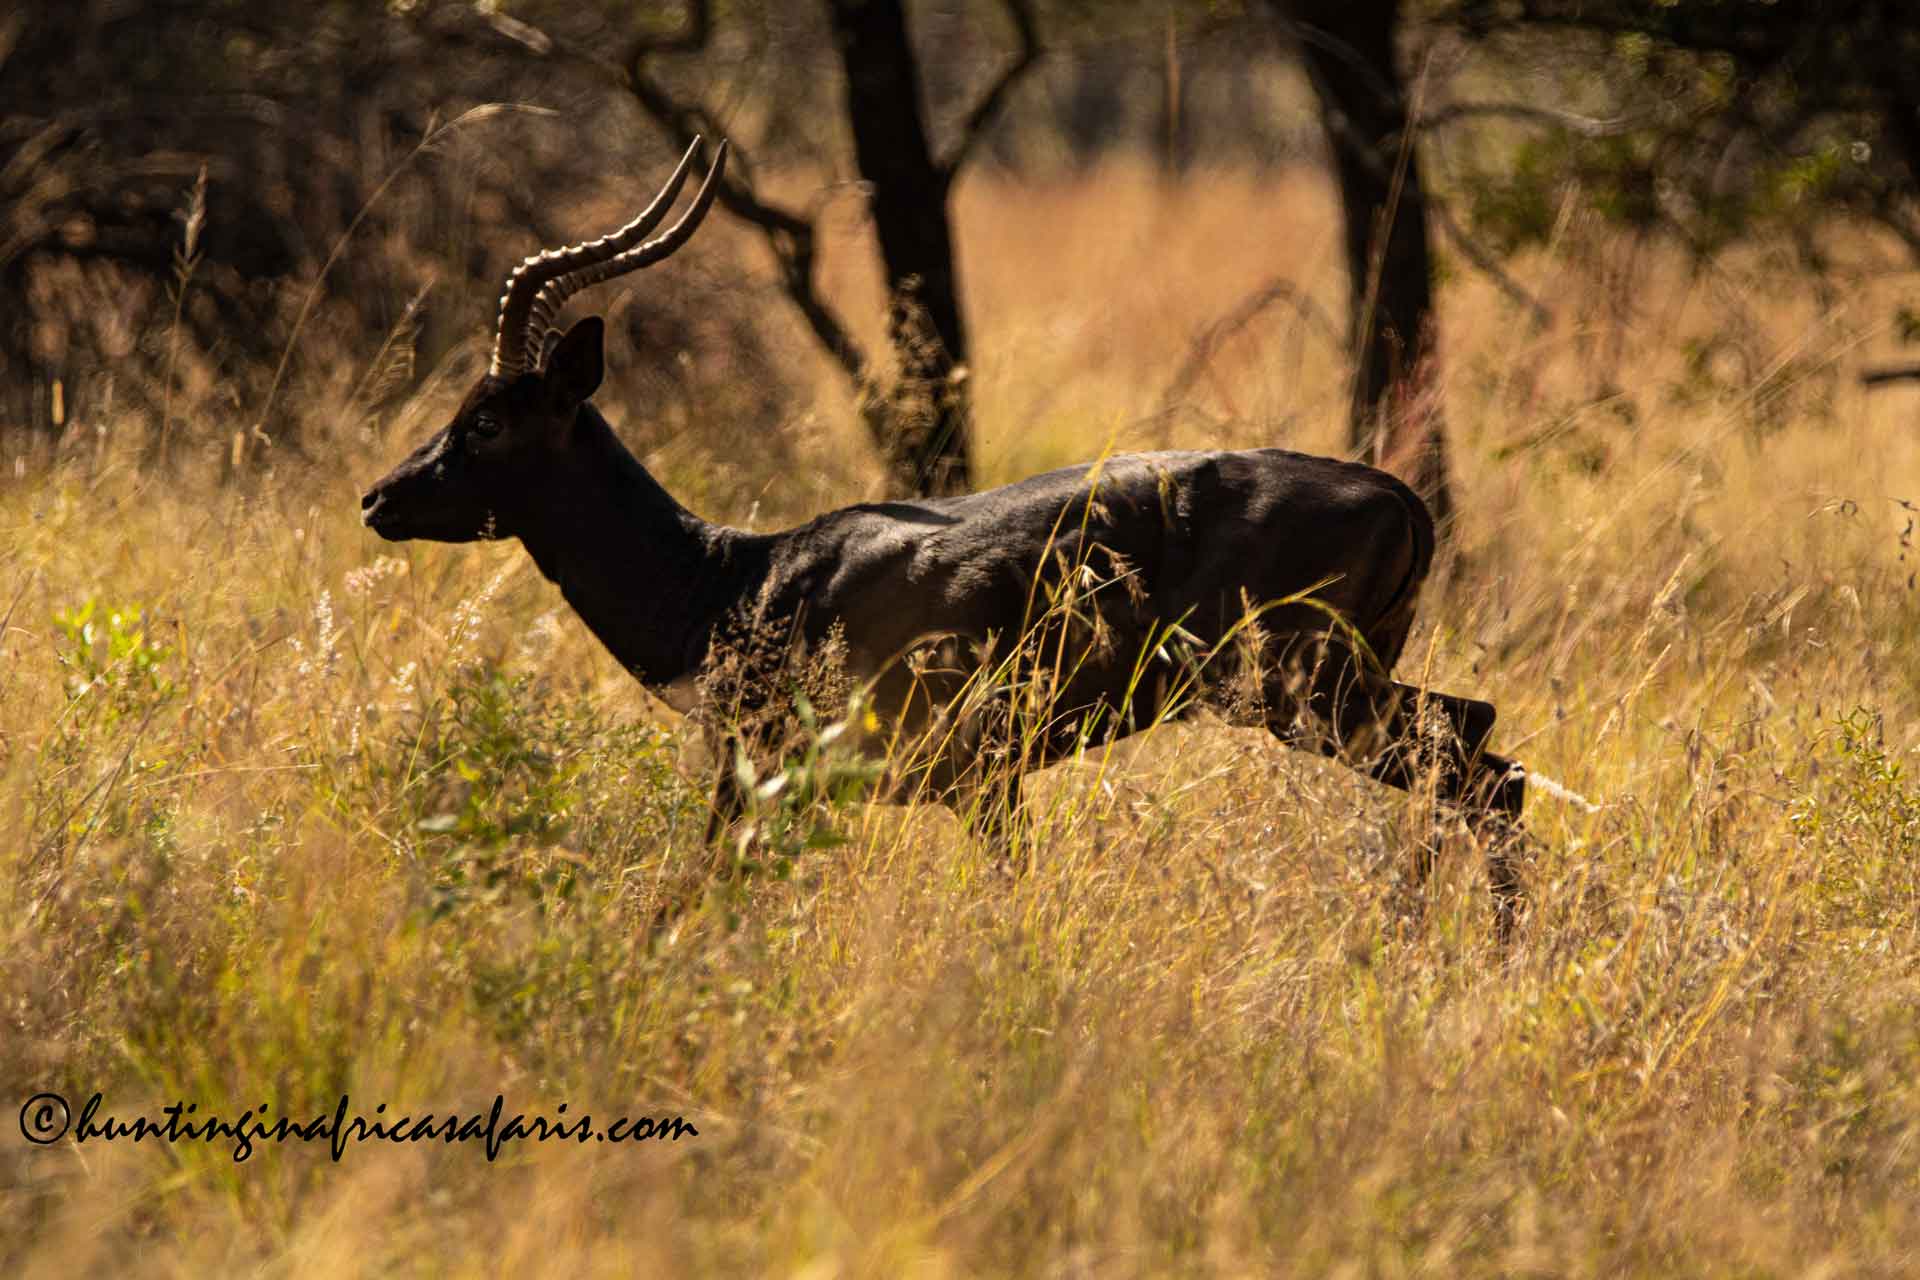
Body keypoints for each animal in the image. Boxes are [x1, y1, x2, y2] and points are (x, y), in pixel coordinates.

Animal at [360, 140, 1529, 928]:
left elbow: (685, 895)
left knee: (1488, 773)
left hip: (1307, 696)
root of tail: (1401, 496)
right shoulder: (966, 786)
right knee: (1483, 747)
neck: (727, 580)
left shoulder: (778, 776)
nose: (378, 497)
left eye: (486, 417)